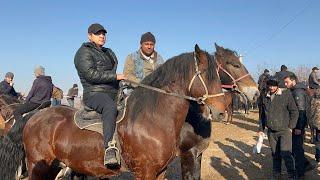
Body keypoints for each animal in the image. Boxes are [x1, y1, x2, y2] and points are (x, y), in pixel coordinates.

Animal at [0, 44, 228, 179]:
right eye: (205, 75)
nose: (221, 113)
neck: (153, 119)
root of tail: (33, 117)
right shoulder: (145, 172)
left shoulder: (160, 171)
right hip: (39, 166)